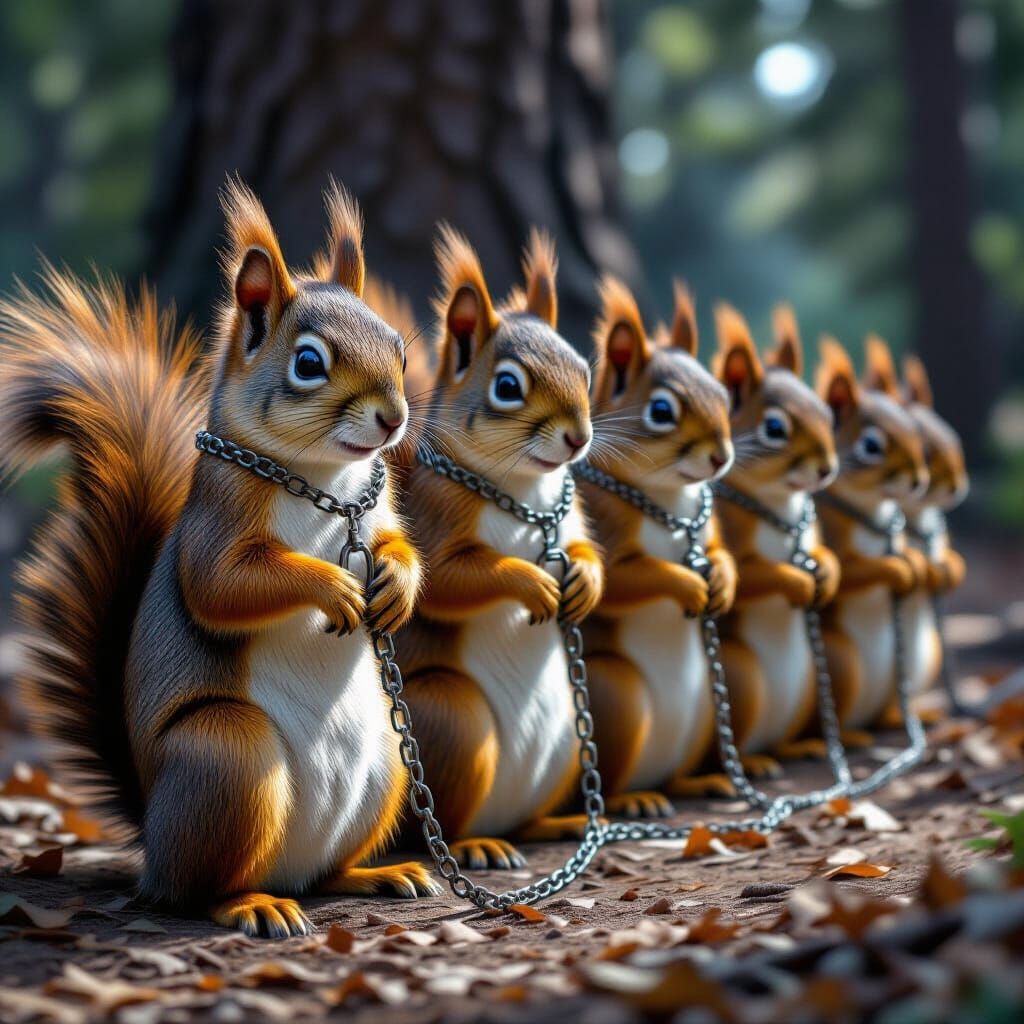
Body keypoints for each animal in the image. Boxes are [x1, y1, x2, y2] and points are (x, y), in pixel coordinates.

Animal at [0, 179, 439, 937]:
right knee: (199, 889)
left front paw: (395, 586)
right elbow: (222, 585)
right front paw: (333, 587)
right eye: (308, 364)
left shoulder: (377, 507)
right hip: (229, 756)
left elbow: (393, 545)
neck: (325, 482)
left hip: (390, 761)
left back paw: (379, 873)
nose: (393, 418)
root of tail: (152, 836)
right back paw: (251, 904)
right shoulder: (218, 519)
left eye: (398, 350)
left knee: (324, 873)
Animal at [394, 227, 605, 870]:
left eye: (585, 370)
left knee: (529, 816)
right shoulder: (437, 517)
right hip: (457, 722)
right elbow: (450, 580)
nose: (578, 438)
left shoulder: (569, 513)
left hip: (569, 740)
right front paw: (532, 583)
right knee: (444, 826)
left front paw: (584, 583)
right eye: (507, 386)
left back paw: (558, 823)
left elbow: (586, 550)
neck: (525, 491)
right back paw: (477, 845)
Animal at [580, 277, 739, 815]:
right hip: (619, 699)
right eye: (662, 411)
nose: (721, 457)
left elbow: (723, 555)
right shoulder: (603, 524)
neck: (669, 498)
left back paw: (699, 782)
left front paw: (722, 581)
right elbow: (623, 579)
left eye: (723, 396)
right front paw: (690, 587)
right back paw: (635, 799)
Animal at [711, 304, 841, 769]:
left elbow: (822, 553)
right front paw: (799, 582)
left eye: (828, 414)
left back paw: (797, 746)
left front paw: (827, 572)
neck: (777, 503)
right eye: (774, 428)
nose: (827, 468)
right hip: (741, 679)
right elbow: (749, 578)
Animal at [814, 337, 929, 744]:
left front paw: (917, 561)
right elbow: (849, 575)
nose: (919, 480)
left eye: (916, 434)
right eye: (871, 446)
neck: (870, 509)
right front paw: (899, 568)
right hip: (841, 663)